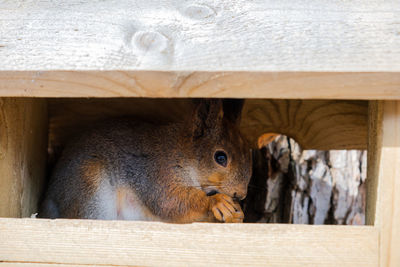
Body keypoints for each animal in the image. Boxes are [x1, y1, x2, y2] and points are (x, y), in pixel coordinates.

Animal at [41, 99, 253, 223]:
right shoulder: (157, 172)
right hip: (89, 187)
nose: (241, 194)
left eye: (249, 152)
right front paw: (217, 202)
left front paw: (238, 214)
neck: (183, 155)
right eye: (220, 157)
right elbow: (170, 202)